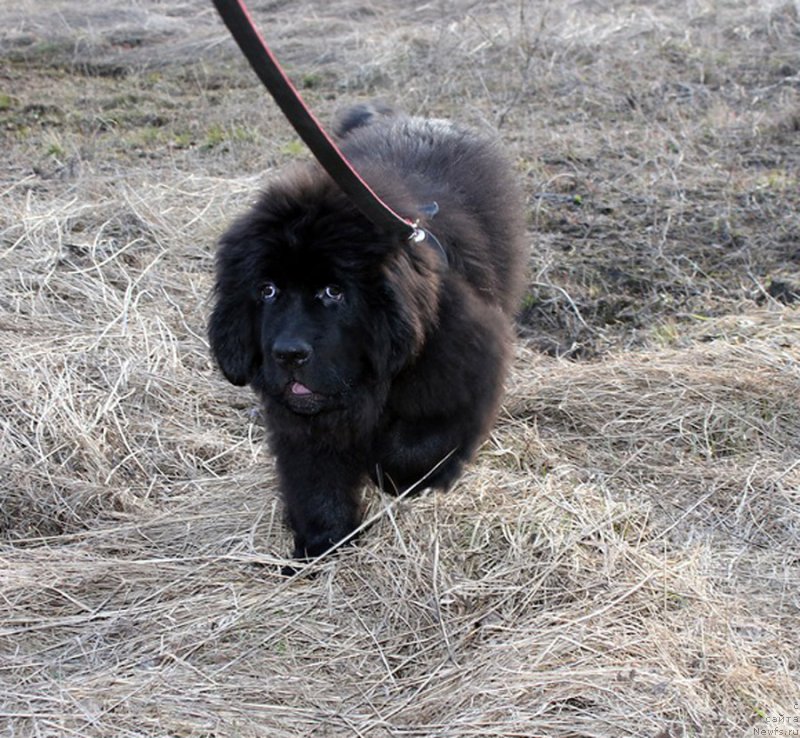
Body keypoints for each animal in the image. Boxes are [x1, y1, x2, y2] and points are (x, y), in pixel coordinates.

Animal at [209, 105, 528, 556]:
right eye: (267, 290)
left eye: (333, 292)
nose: (288, 353)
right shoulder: (302, 422)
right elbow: (314, 476)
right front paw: (321, 544)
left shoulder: (466, 372)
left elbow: (414, 447)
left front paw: (401, 476)